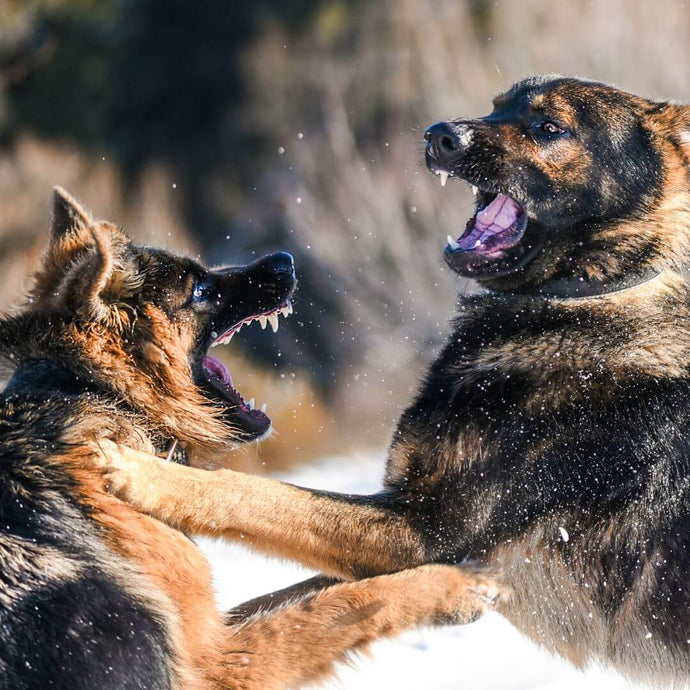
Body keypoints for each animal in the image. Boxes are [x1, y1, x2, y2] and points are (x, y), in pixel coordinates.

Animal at [0, 187, 500, 688]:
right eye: (201, 289)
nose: (285, 259)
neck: (97, 392)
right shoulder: (215, 662)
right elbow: (329, 609)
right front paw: (452, 587)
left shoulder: (214, 626)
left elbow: (303, 591)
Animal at [101, 75, 690, 684]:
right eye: (498, 106)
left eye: (549, 127)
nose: (440, 135)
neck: (584, 297)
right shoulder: (403, 532)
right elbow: (273, 606)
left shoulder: (423, 532)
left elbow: (257, 493)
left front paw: (142, 474)